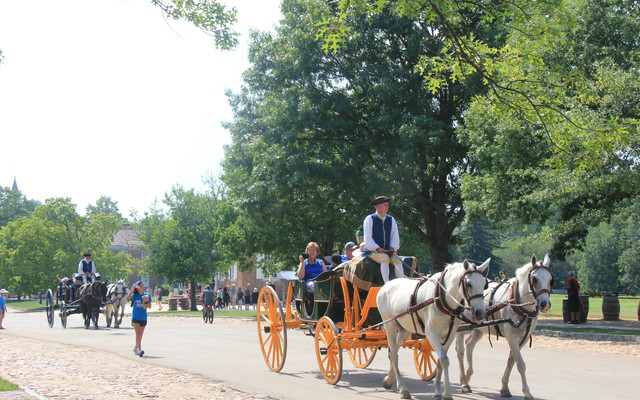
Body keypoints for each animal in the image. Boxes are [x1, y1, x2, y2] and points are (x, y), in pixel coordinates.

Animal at [376, 258, 490, 398]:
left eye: (485, 284)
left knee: (394, 352)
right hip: (390, 324)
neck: (442, 298)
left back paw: (389, 379)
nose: (480, 313)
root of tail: (386, 285)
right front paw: (447, 392)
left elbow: (441, 361)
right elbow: (444, 360)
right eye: (468, 284)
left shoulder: (450, 334)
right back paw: (403, 388)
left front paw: (438, 391)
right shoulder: (431, 334)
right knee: (393, 352)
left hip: (404, 329)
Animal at [456, 255, 556, 398]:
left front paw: (504, 388)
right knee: (460, 351)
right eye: (535, 278)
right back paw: (464, 382)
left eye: (550, 280)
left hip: (479, 327)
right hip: (460, 326)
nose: (544, 304)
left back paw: (468, 375)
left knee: (469, 345)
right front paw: (527, 392)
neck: (520, 305)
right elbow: (520, 364)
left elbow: (511, 361)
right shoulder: (511, 335)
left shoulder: (524, 338)